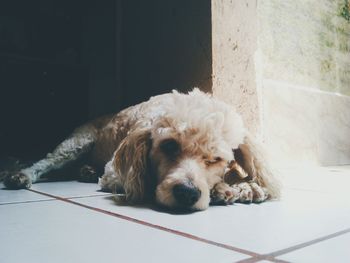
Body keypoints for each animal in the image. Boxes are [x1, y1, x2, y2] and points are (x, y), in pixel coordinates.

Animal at [3, 89, 278, 211]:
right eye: (169, 145)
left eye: (216, 158)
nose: (187, 193)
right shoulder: (115, 172)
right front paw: (223, 188)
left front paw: (244, 185)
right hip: (75, 143)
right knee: (43, 163)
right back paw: (20, 175)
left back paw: (86, 171)